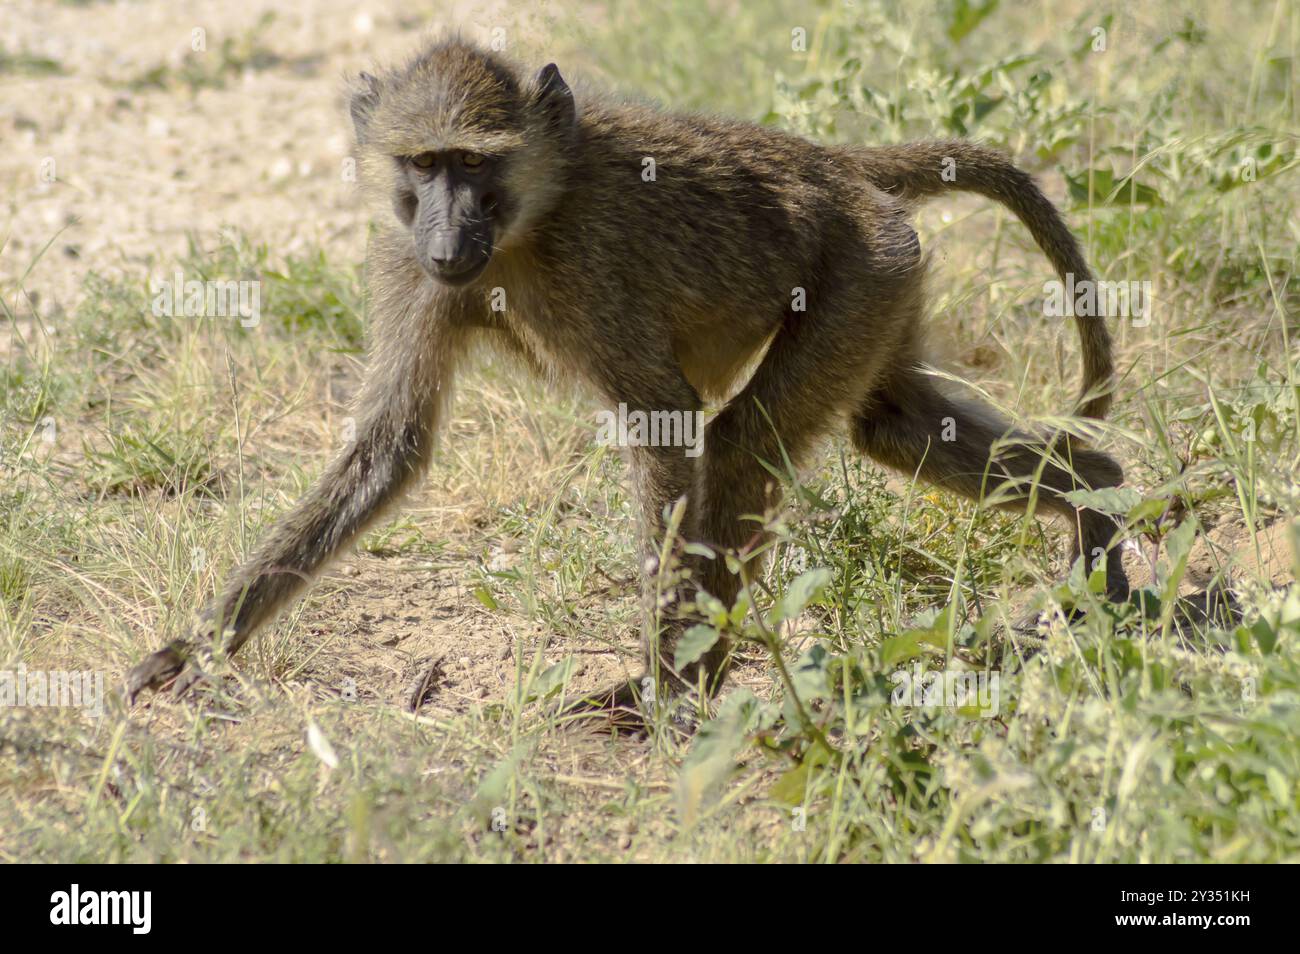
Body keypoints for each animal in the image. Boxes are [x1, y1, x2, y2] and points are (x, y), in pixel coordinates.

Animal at [125, 38, 1129, 714]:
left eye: (474, 163)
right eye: (424, 164)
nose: (448, 238)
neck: (530, 216)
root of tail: (840, 165)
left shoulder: (589, 267)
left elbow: (665, 422)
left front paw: (663, 681)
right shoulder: (408, 267)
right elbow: (388, 448)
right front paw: (195, 648)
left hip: (866, 267)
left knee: (742, 443)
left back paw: (684, 689)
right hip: (888, 278)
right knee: (886, 423)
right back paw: (1100, 506)